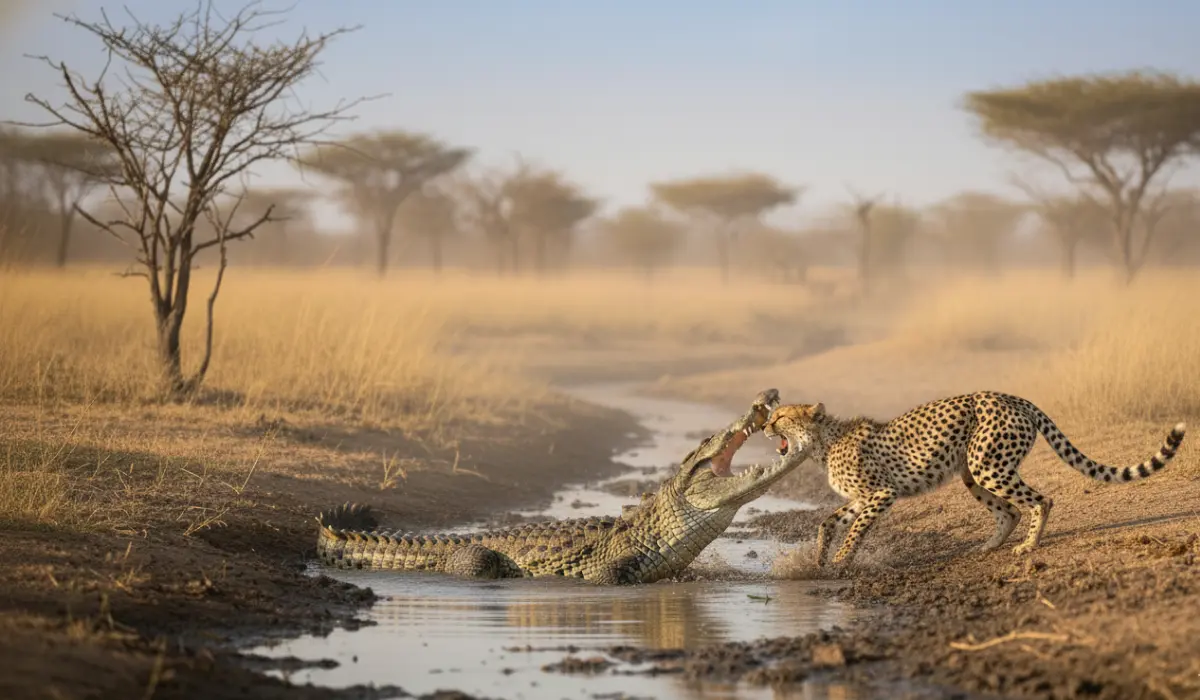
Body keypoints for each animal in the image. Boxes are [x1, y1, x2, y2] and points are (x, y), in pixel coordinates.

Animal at [762, 391, 1187, 567]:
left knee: (1041, 500)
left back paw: (1029, 546)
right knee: (1009, 511)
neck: (823, 442)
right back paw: (989, 546)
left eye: (780, 416)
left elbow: (855, 530)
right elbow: (828, 521)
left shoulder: (882, 493)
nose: (765, 426)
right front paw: (820, 556)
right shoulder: (861, 498)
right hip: (973, 471)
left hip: (988, 465)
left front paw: (842, 560)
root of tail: (1009, 396)